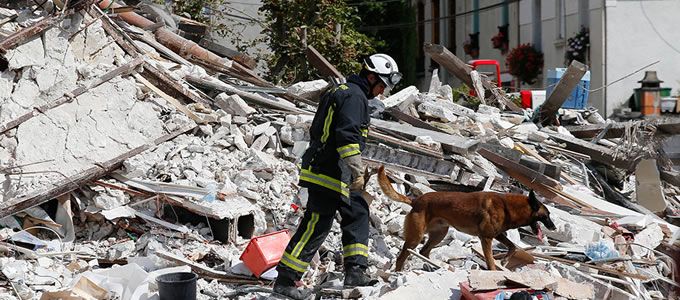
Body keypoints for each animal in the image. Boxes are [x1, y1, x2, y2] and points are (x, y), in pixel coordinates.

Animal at [374, 165, 556, 270]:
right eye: (546, 216)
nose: (554, 227)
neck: (507, 206)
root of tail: (415, 200)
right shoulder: (486, 238)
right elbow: (491, 261)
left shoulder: (497, 235)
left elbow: (513, 247)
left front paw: (505, 261)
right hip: (416, 237)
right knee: (402, 256)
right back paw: (398, 273)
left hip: (439, 234)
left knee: (424, 250)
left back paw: (433, 267)